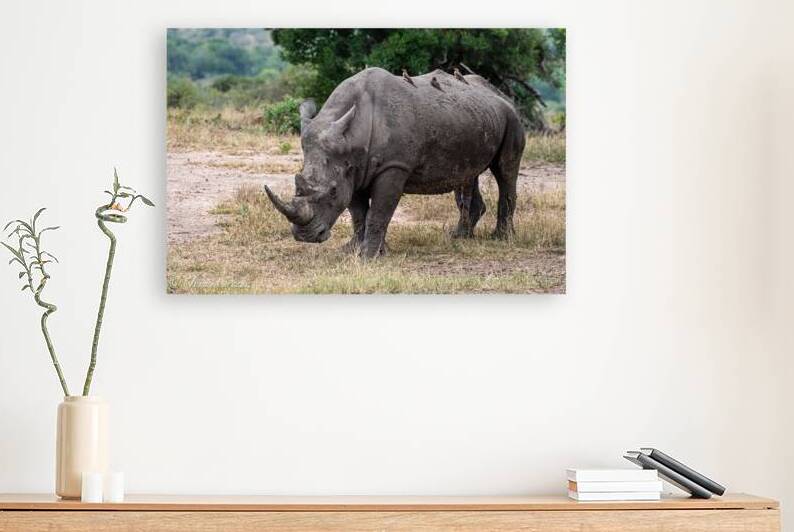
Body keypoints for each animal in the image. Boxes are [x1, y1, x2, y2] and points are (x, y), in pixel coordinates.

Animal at [264, 67, 525, 258]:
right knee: (468, 176)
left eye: (332, 191)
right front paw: (353, 250)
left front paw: (369, 256)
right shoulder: (353, 169)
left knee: (505, 171)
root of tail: (499, 93)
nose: (305, 236)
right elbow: (358, 213)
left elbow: (379, 212)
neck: (352, 137)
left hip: (512, 117)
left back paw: (501, 239)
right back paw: (458, 237)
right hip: (473, 118)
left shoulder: (394, 166)